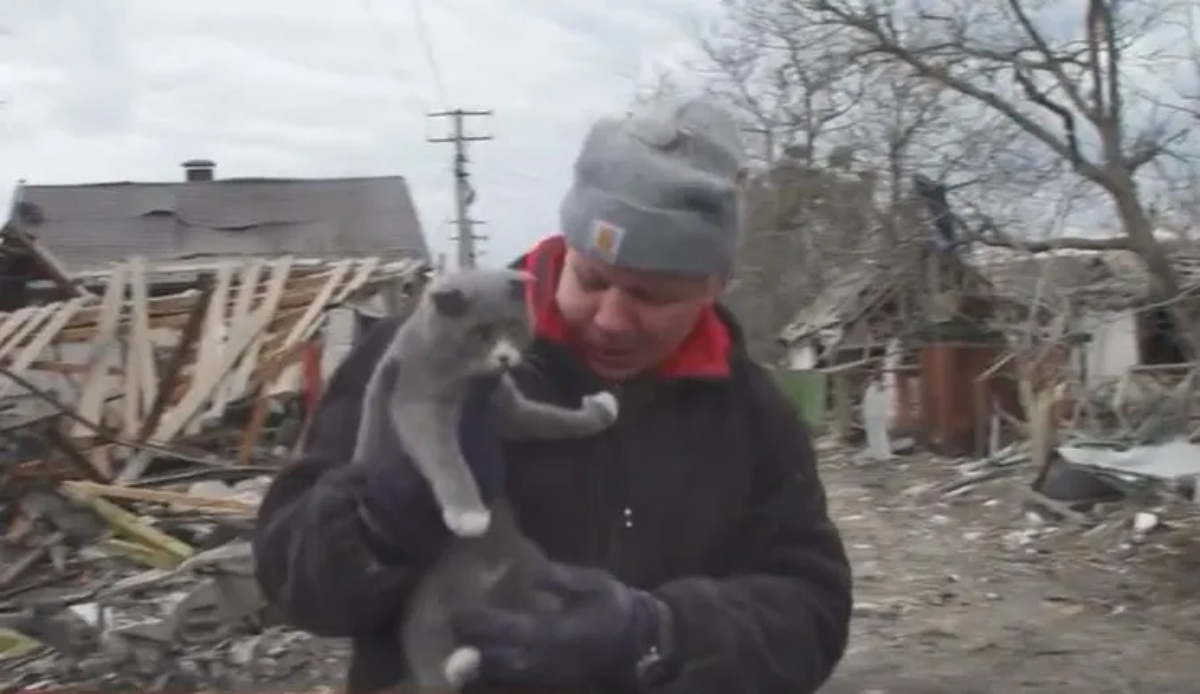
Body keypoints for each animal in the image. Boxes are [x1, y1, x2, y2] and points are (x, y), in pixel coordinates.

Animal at [350, 264, 619, 686]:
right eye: (479, 332)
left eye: (513, 326)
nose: (506, 357)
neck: (470, 381)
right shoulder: (416, 397)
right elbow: (443, 454)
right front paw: (468, 513)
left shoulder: (504, 408)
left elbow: (551, 419)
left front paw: (601, 411)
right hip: (427, 607)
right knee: (432, 664)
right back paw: (462, 662)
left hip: (533, 575)